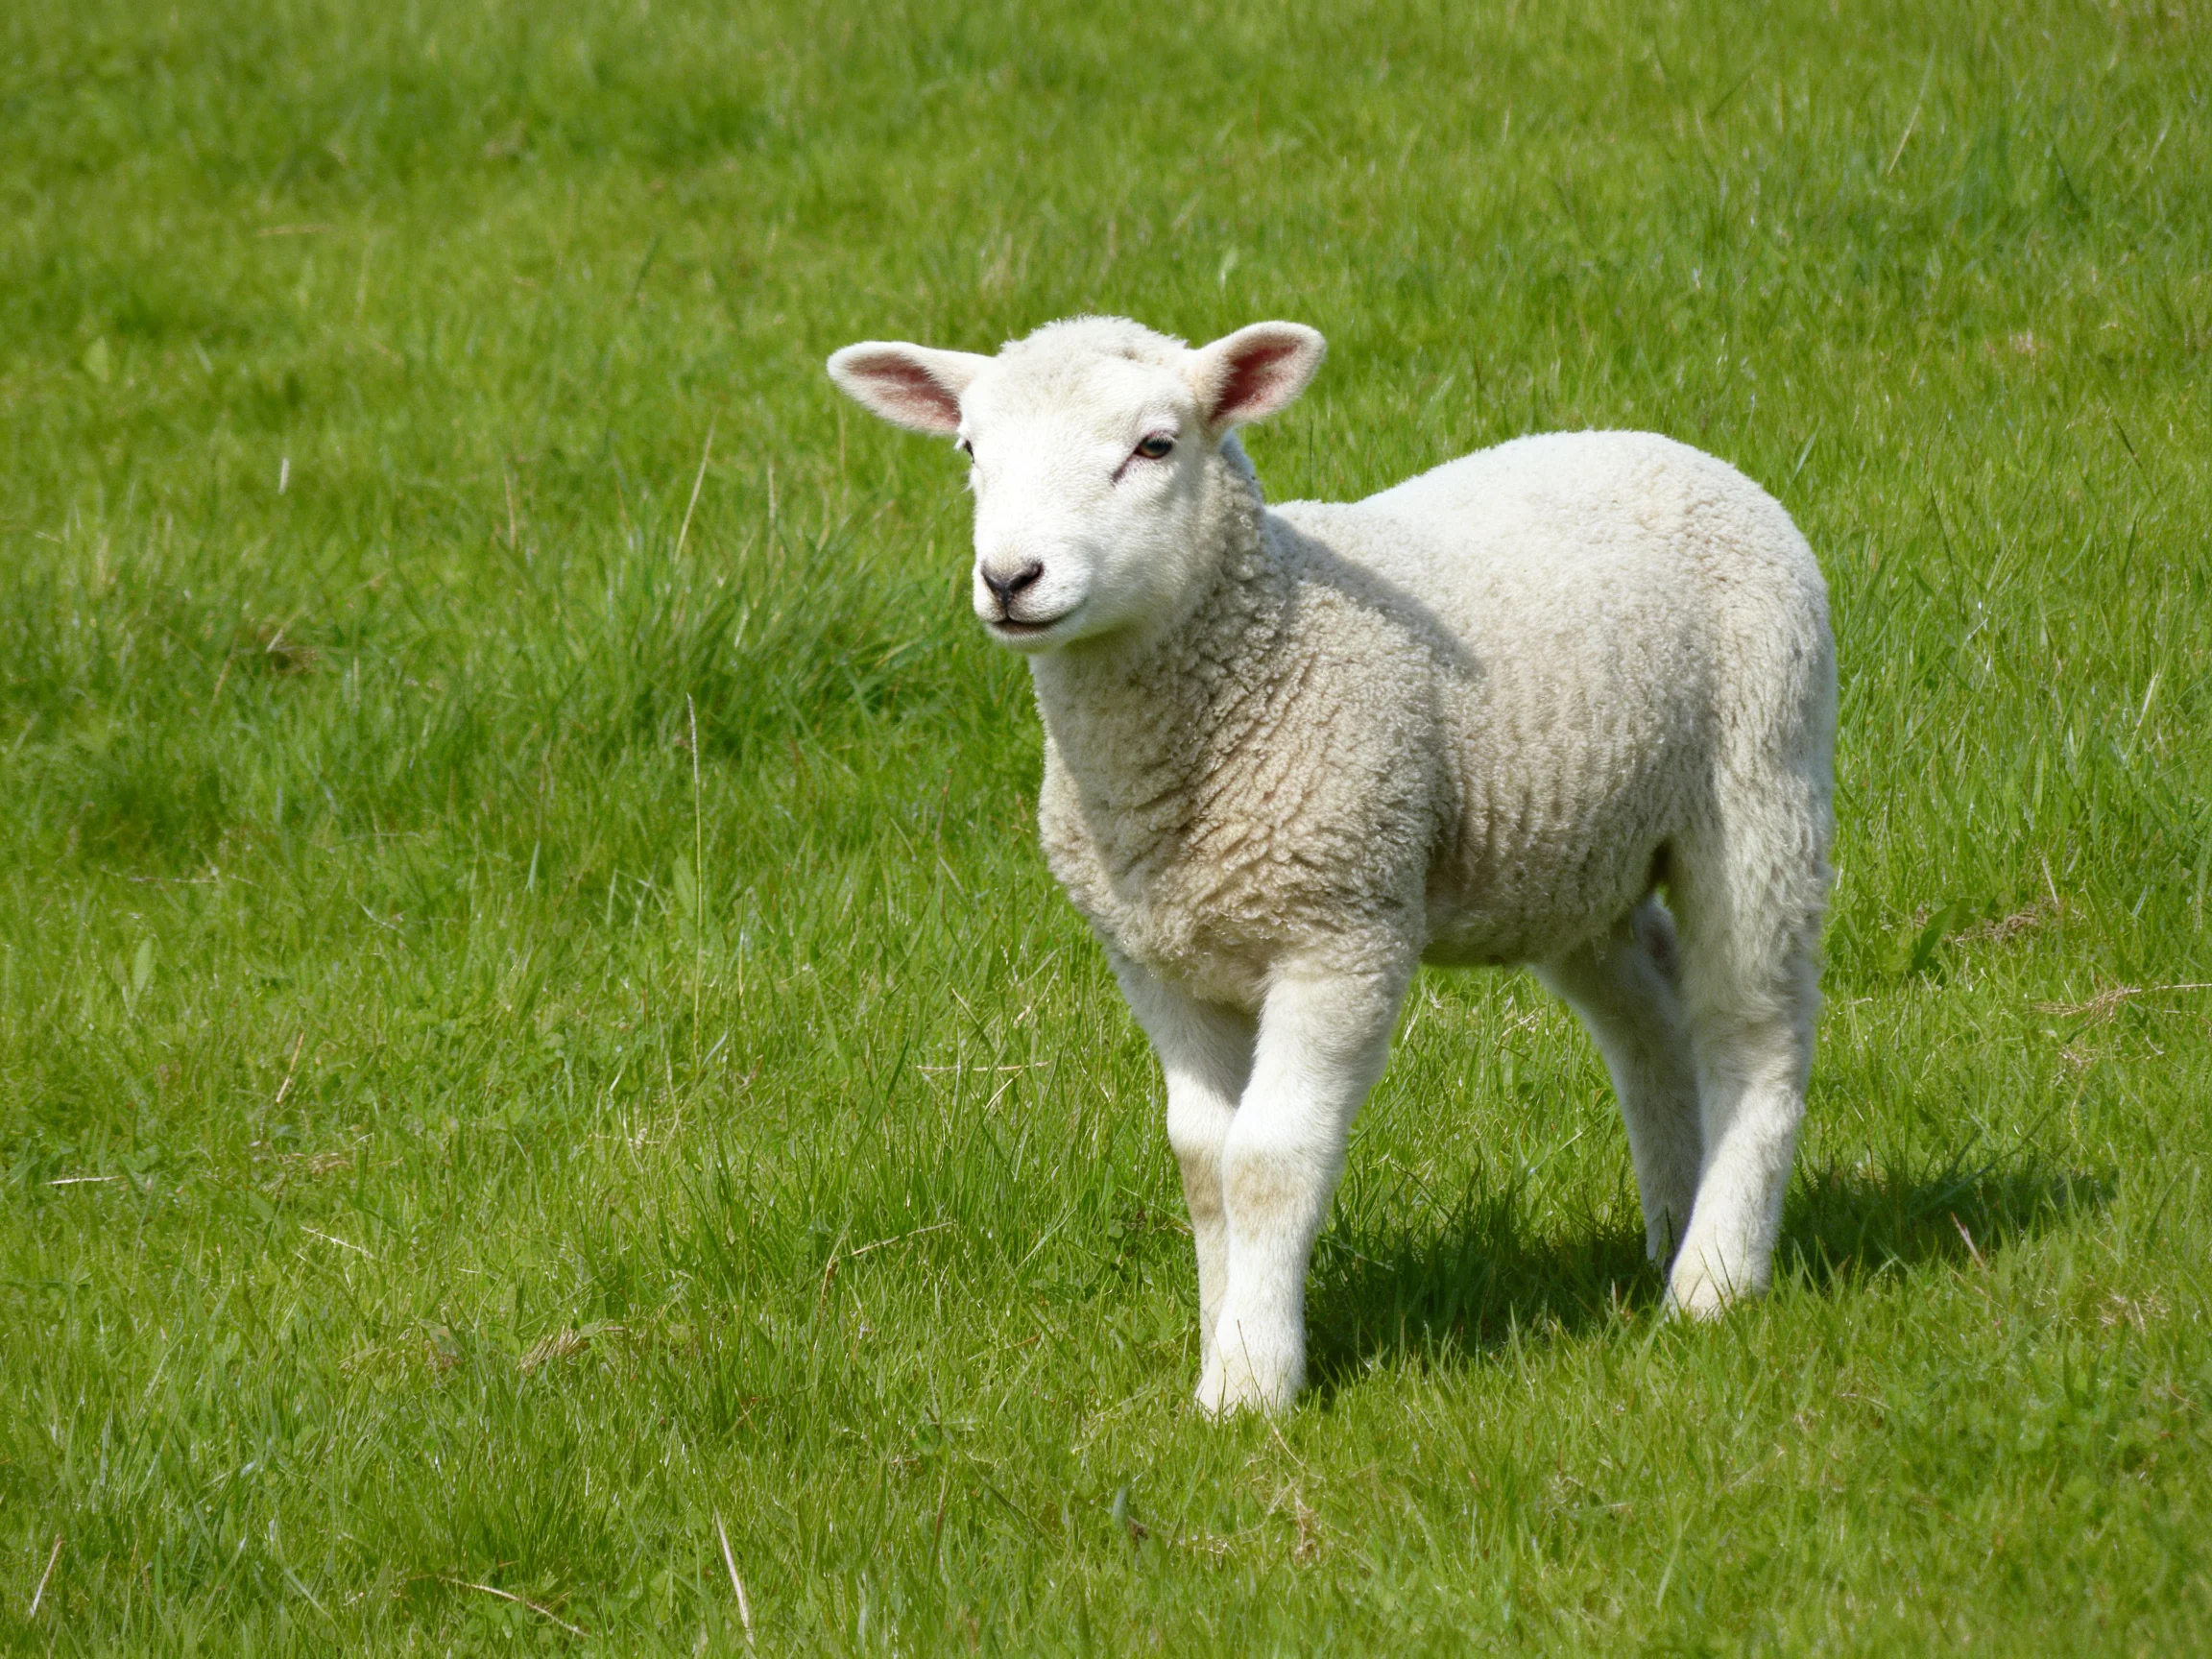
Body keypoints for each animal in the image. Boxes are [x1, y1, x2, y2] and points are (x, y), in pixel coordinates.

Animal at [827, 315, 1835, 1416]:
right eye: (971, 450)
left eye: (1154, 446)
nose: (1011, 580)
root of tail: (1673, 449)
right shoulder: (1158, 960)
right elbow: (1202, 1164)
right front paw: (1222, 1337)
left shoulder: (1340, 934)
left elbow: (1268, 1161)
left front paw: (1251, 1381)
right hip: (1575, 857)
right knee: (1648, 1018)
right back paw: (1669, 1230)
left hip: (1761, 785)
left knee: (1752, 1032)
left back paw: (1715, 1279)